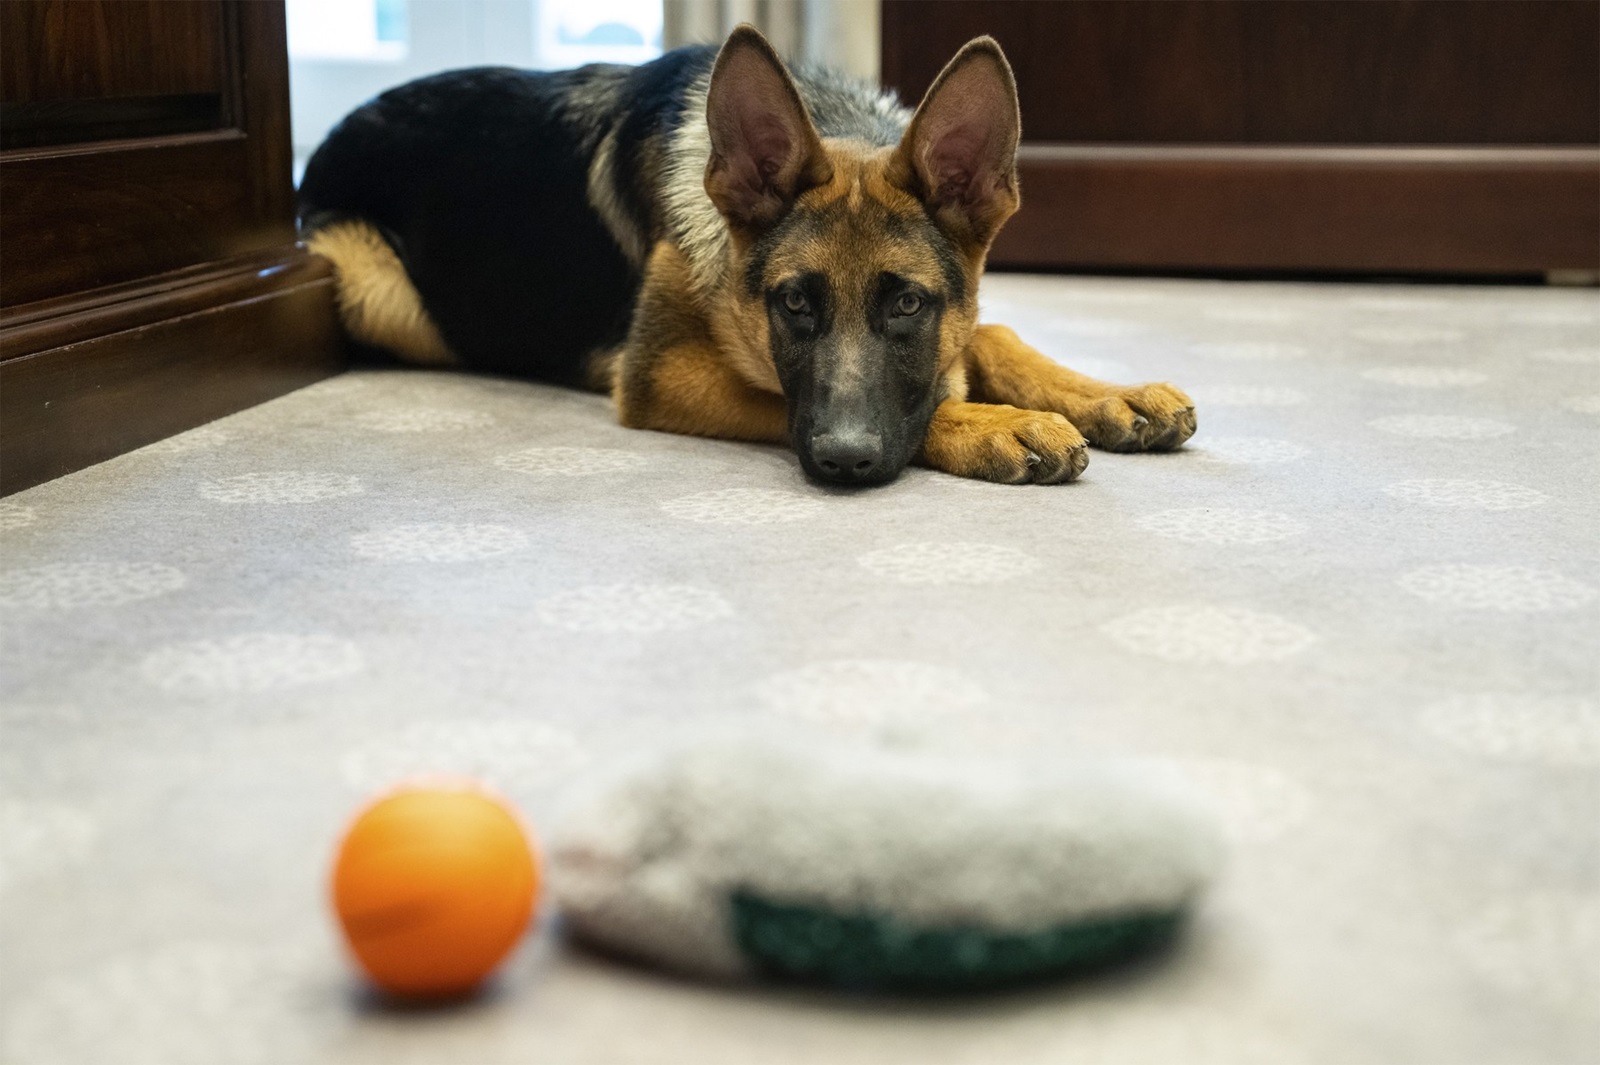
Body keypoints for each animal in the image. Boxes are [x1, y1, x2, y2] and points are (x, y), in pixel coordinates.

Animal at [300, 26, 1196, 486]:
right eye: (793, 304)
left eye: (908, 304)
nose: (842, 463)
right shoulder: (662, 375)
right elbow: (795, 395)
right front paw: (989, 422)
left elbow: (992, 333)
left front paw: (1103, 393)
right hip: (371, 282)